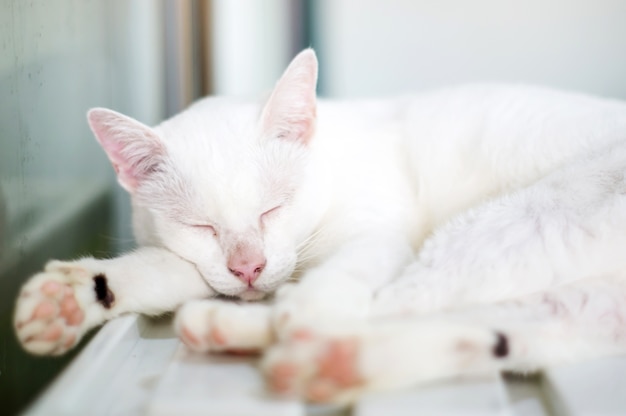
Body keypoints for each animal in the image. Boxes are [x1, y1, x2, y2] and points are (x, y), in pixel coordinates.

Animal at [13, 48, 626, 404]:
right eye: (201, 226)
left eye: (273, 208)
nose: (249, 266)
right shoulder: (209, 264)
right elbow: (162, 270)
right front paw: (72, 299)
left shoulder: (377, 229)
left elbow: (345, 270)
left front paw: (303, 304)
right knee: (488, 330)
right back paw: (325, 358)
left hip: (511, 226)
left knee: (393, 306)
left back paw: (282, 332)